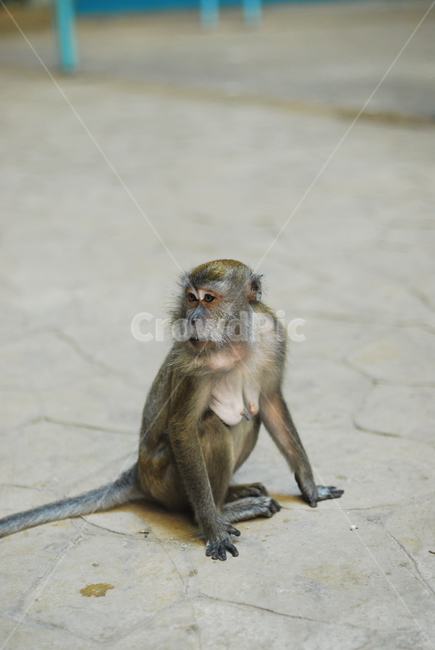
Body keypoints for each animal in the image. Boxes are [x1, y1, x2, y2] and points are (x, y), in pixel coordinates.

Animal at [0, 259, 343, 560]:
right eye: (191, 298)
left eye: (208, 298)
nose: (192, 319)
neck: (234, 340)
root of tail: (139, 471)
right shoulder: (194, 361)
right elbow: (182, 426)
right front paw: (213, 529)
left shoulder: (273, 336)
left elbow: (270, 403)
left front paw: (310, 486)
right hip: (166, 482)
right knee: (212, 426)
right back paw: (222, 511)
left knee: (250, 415)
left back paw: (233, 494)